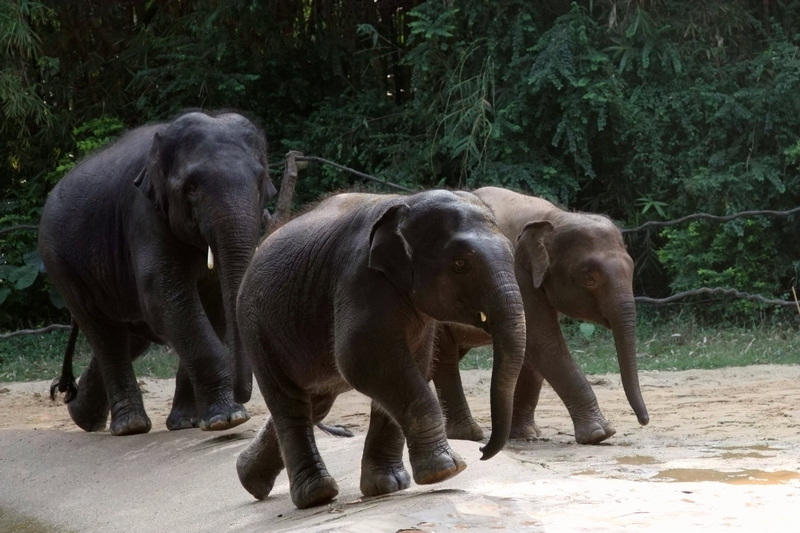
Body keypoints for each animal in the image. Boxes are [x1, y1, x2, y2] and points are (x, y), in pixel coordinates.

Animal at [39, 110, 275, 436]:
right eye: (192, 187)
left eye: (260, 181)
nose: (244, 395)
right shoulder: (143, 214)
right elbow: (166, 300)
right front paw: (229, 419)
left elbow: (212, 308)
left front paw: (189, 423)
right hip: (60, 263)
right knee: (105, 335)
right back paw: (130, 426)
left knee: (131, 336)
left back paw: (82, 416)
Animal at [235, 190, 527, 509]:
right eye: (460, 264)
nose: (483, 451)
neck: (405, 203)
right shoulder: (359, 281)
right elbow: (361, 358)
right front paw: (447, 470)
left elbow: (411, 366)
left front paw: (388, 486)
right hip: (256, 329)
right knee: (289, 403)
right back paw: (316, 496)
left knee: (314, 404)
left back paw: (249, 479)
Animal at [431, 186, 649, 445]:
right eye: (589, 277)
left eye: (632, 268)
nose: (644, 421)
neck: (552, 216)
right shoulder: (514, 275)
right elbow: (542, 341)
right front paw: (600, 434)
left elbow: (531, 347)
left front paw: (526, 435)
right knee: (444, 359)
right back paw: (468, 434)